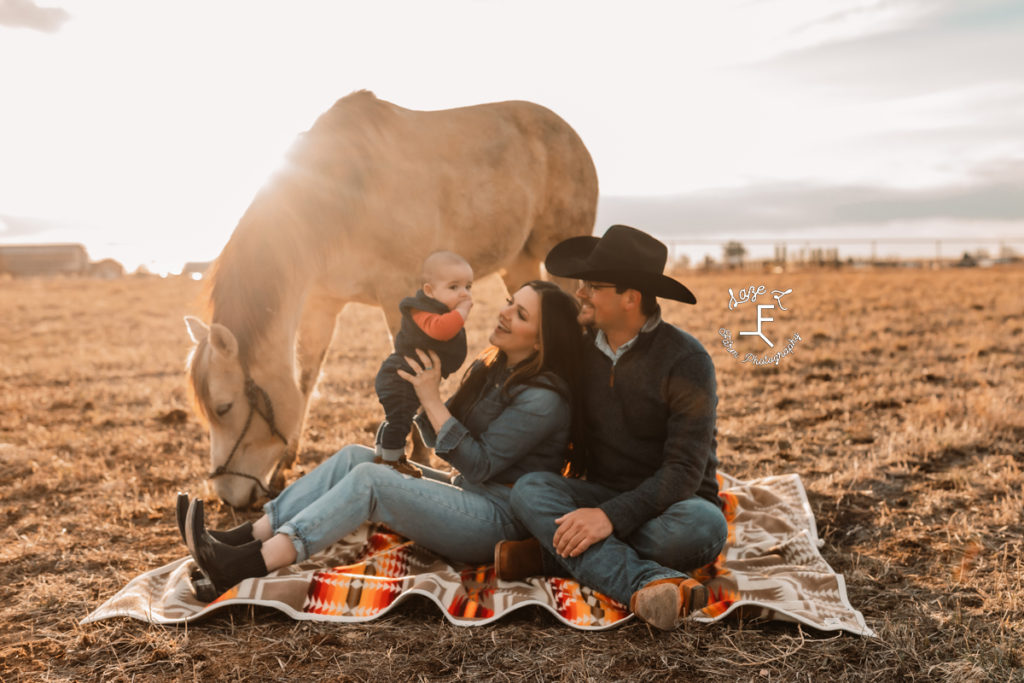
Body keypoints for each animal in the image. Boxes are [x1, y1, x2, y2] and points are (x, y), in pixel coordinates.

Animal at [185, 90, 598, 507]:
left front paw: (417, 454)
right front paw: (285, 465)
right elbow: (305, 380)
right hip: (518, 264)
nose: (227, 495)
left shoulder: (397, 293)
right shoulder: (321, 305)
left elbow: (410, 366)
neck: (342, 194)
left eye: (224, 407)